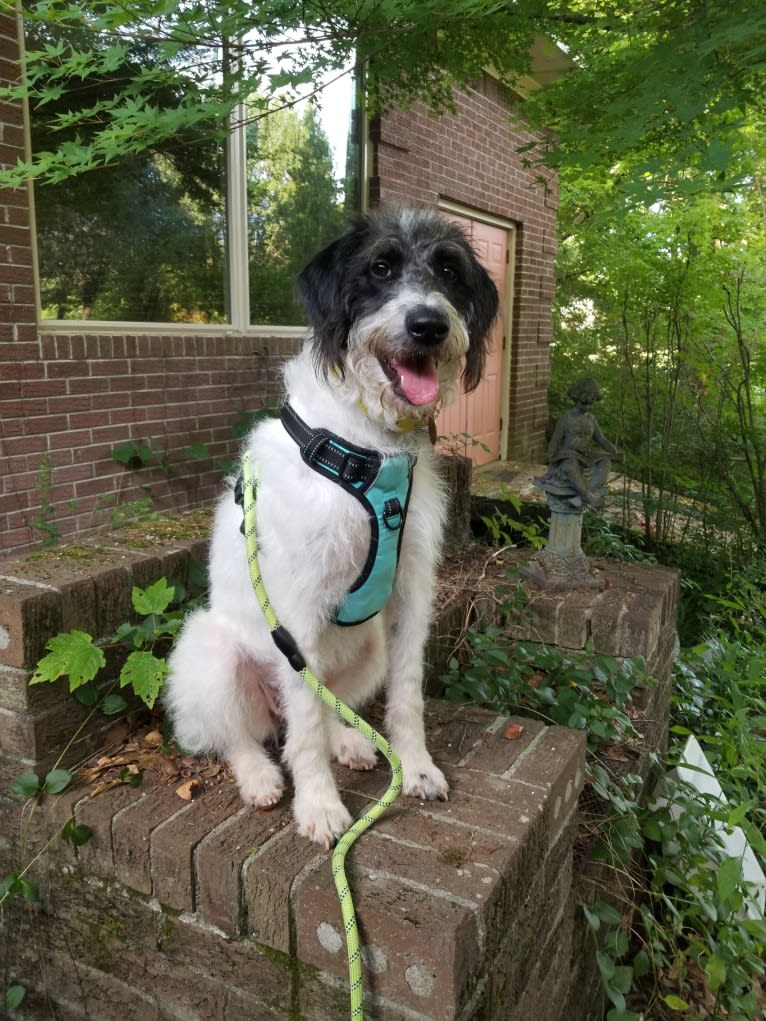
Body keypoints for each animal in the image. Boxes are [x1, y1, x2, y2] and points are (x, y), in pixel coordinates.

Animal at [165, 207, 500, 845]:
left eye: (449, 270)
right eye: (380, 267)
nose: (428, 325)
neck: (366, 445)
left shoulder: (411, 593)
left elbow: (406, 695)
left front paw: (415, 767)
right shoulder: (295, 614)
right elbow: (303, 734)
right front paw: (318, 805)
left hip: (367, 647)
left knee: (324, 709)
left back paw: (350, 742)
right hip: (212, 652)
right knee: (242, 734)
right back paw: (261, 777)